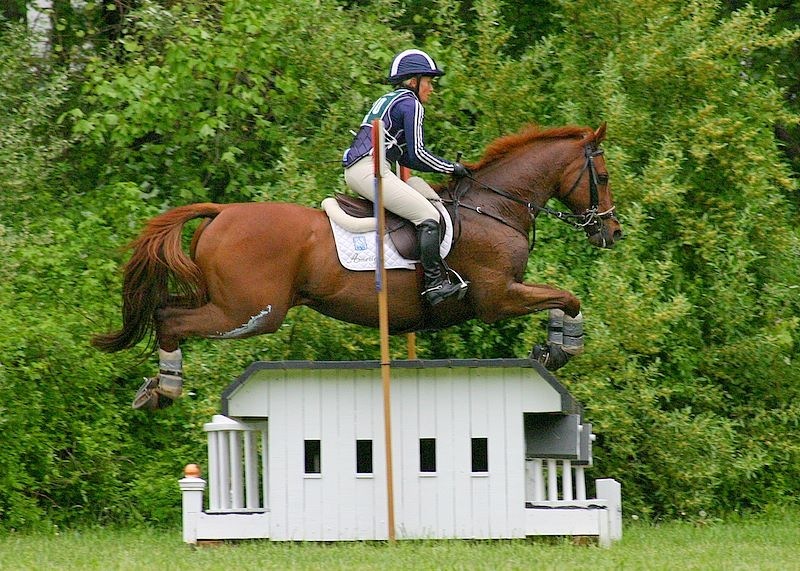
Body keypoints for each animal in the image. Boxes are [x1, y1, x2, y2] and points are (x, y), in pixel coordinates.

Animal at [92, 123, 622, 408]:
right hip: (251, 312)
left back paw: (156, 386)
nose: (612, 232)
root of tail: (223, 211)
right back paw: (166, 388)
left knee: (165, 307)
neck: (494, 207)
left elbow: (560, 298)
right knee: (171, 319)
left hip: (223, 299)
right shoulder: (497, 296)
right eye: (602, 175)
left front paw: (552, 347)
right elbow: (567, 296)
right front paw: (563, 348)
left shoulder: (507, 293)